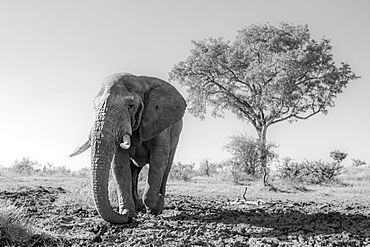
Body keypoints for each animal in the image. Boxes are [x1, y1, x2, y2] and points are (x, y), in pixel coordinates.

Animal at [69, 73, 186, 224]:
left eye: (130, 106)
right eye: (94, 107)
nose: (124, 216)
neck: (141, 82)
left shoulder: (160, 122)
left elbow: (158, 160)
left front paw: (155, 207)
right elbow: (119, 164)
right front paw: (128, 214)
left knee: (166, 167)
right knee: (134, 169)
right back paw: (139, 206)